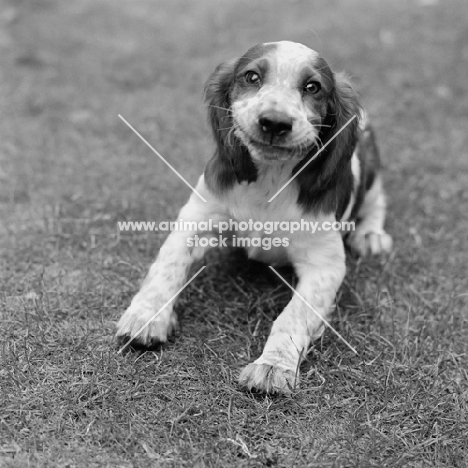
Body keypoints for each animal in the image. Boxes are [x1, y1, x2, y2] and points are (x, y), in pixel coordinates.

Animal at [115, 40, 394, 394]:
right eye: (251, 77)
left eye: (313, 87)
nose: (274, 122)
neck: (270, 181)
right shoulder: (197, 218)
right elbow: (166, 266)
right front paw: (147, 316)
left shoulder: (325, 265)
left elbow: (293, 315)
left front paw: (272, 367)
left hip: (371, 168)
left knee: (377, 201)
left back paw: (371, 236)